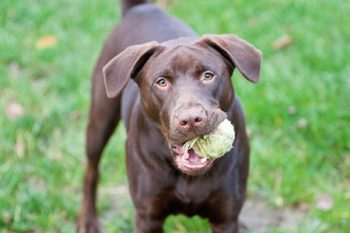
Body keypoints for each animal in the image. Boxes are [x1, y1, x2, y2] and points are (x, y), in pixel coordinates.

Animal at [78, 0, 262, 232]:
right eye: (162, 82)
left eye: (208, 76)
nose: (191, 120)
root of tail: (141, 8)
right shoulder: (148, 217)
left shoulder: (225, 217)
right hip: (100, 120)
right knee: (91, 170)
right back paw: (87, 219)